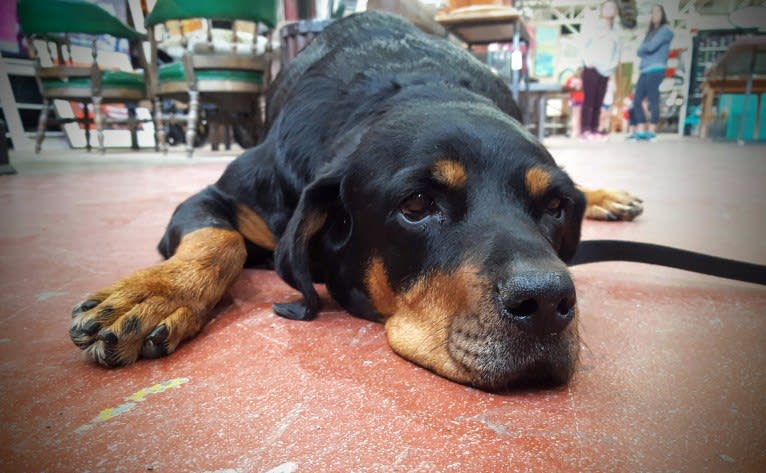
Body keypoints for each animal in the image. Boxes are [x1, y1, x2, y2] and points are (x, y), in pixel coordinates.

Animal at [70, 12, 640, 390]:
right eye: (417, 205)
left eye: (554, 208)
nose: (546, 301)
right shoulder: (219, 195)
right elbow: (219, 238)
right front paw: (154, 293)